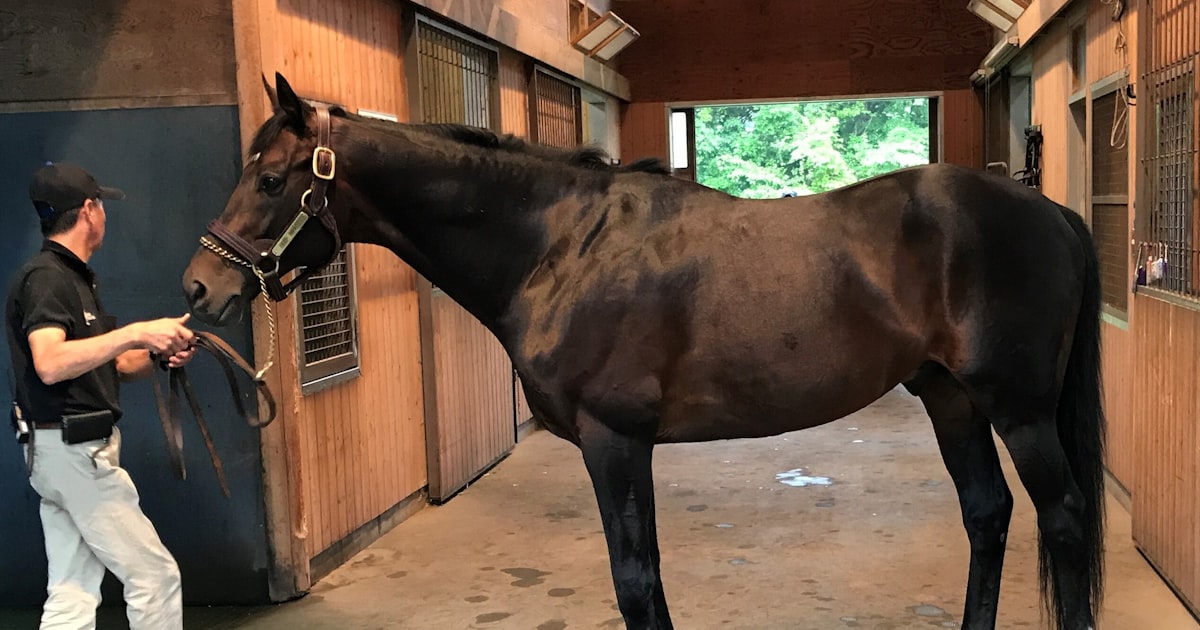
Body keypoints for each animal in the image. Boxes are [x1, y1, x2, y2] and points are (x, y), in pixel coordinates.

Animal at [182, 73, 1105, 630]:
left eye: (271, 180)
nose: (200, 289)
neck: (560, 246)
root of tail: (1051, 212)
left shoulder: (615, 440)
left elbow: (635, 580)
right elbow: (644, 579)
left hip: (1018, 410)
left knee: (1061, 521)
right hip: (949, 397)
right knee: (989, 516)